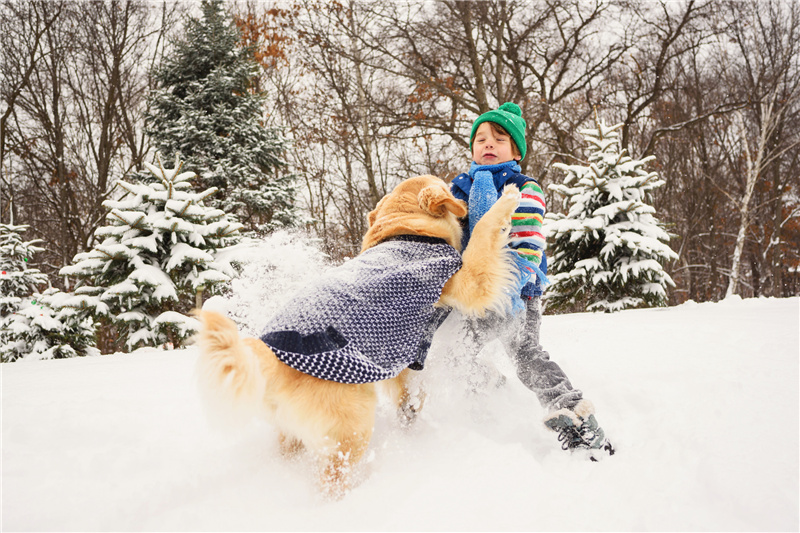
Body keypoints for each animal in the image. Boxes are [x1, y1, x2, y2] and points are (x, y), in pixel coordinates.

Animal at [194, 176, 520, 498]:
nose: (461, 195)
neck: (406, 232)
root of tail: (271, 353)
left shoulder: (397, 349)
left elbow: (408, 389)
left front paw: (412, 409)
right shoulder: (466, 282)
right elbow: (484, 232)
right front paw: (508, 199)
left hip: (295, 430)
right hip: (353, 426)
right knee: (332, 479)